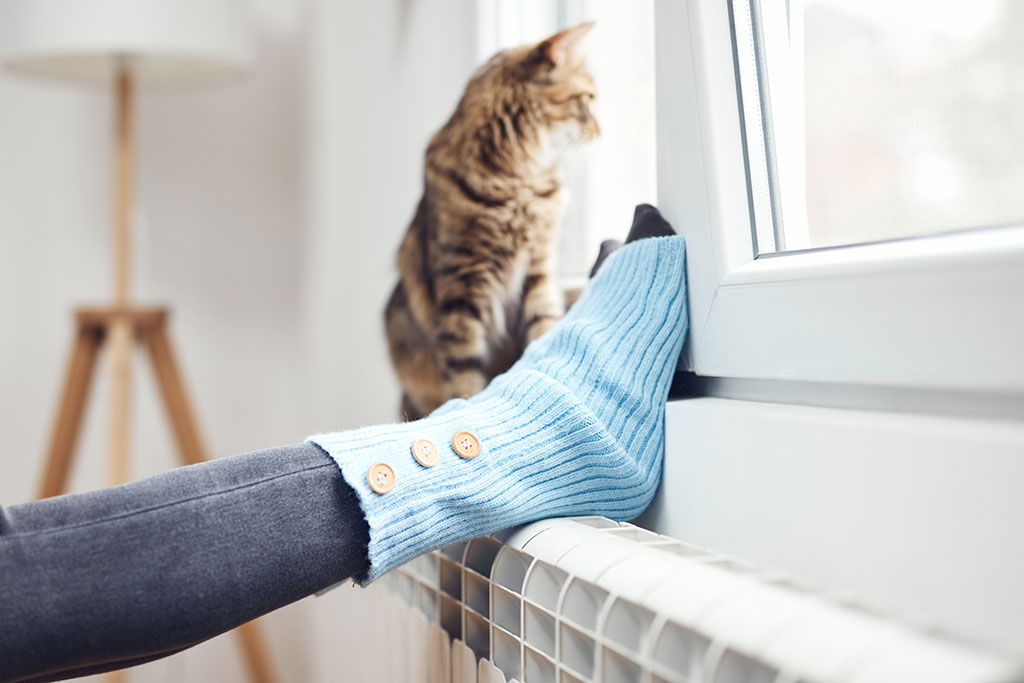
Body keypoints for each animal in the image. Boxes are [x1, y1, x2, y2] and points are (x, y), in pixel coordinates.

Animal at [385, 24, 598, 419]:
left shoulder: (538, 272)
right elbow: (465, 374)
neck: (518, 181)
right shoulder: (462, 286)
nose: (599, 130)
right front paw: (466, 408)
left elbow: (543, 333)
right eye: (589, 98)